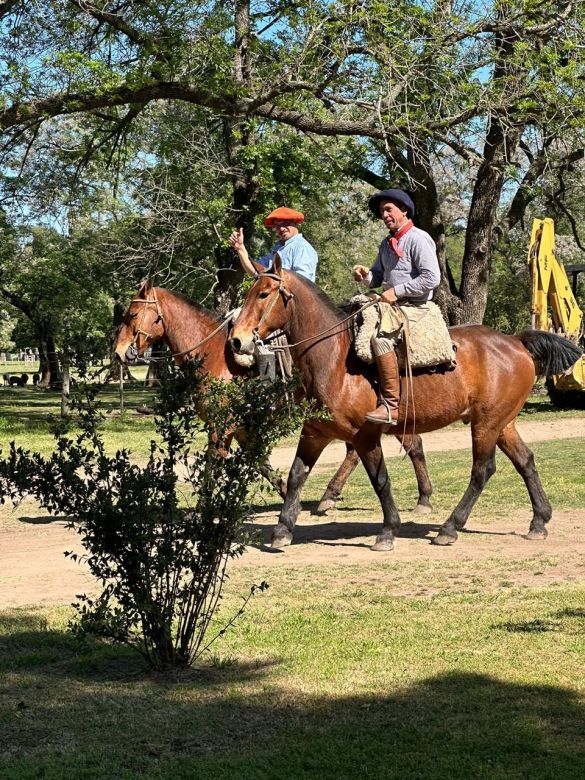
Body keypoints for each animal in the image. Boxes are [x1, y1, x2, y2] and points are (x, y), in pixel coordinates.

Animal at [113, 280, 434, 512]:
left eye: (132, 315)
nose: (118, 353)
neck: (212, 353)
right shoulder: (241, 427)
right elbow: (260, 461)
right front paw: (284, 491)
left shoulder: (222, 426)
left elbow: (212, 466)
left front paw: (203, 508)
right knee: (363, 450)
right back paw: (331, 496)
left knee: (409, 443)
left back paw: (422, 498)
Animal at [230, 256, 580, 548]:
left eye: (263, 294)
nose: (237, 340)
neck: (333, 359)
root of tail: (515, 341)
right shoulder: (315, 433)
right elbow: (295, 476)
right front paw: (282, 529)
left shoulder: (364, 436)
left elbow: (380, 480)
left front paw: (388, 530)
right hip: (502, 423)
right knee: (525, 461)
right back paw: (539, 520)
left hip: (486, 424)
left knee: (482, 470)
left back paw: (449, 527)